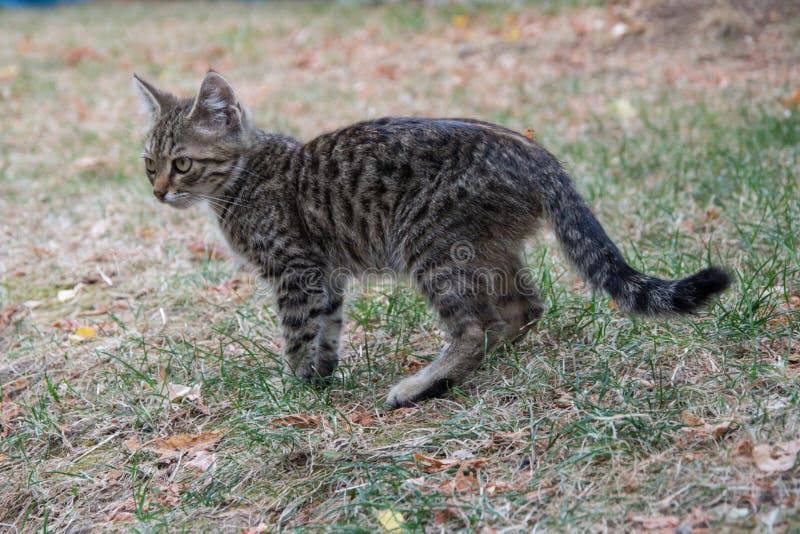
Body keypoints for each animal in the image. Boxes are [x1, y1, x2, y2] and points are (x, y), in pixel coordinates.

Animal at [133, 70, 732, 406]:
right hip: (485, 250)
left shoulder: (296, 271)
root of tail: (535, 152)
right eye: (148, 164)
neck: (241, 180)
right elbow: (328, 329)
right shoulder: (325, 274)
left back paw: (423, 385)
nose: (159, 192)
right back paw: (479, 364)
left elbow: (298, 332)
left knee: (477, 326)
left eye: (182, 164)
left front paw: (294, 385)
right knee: (522, 310)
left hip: (432, 246)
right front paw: (322, 378)